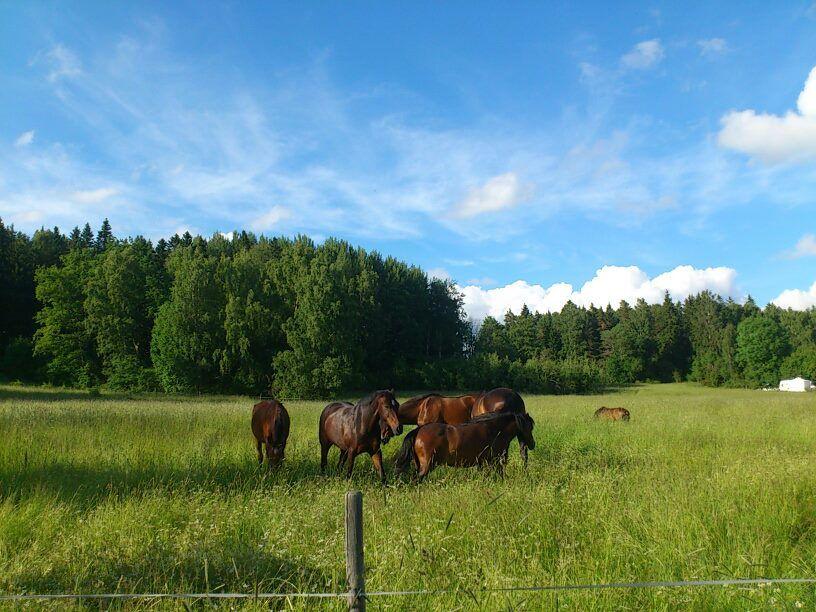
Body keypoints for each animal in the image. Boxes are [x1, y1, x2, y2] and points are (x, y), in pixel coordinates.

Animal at [396, 414, 536, 480]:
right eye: (530, 427)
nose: (532, 444)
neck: (494, 430)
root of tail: (419, 430)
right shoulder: (494, 461)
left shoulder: (483, 462)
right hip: (427, 466)